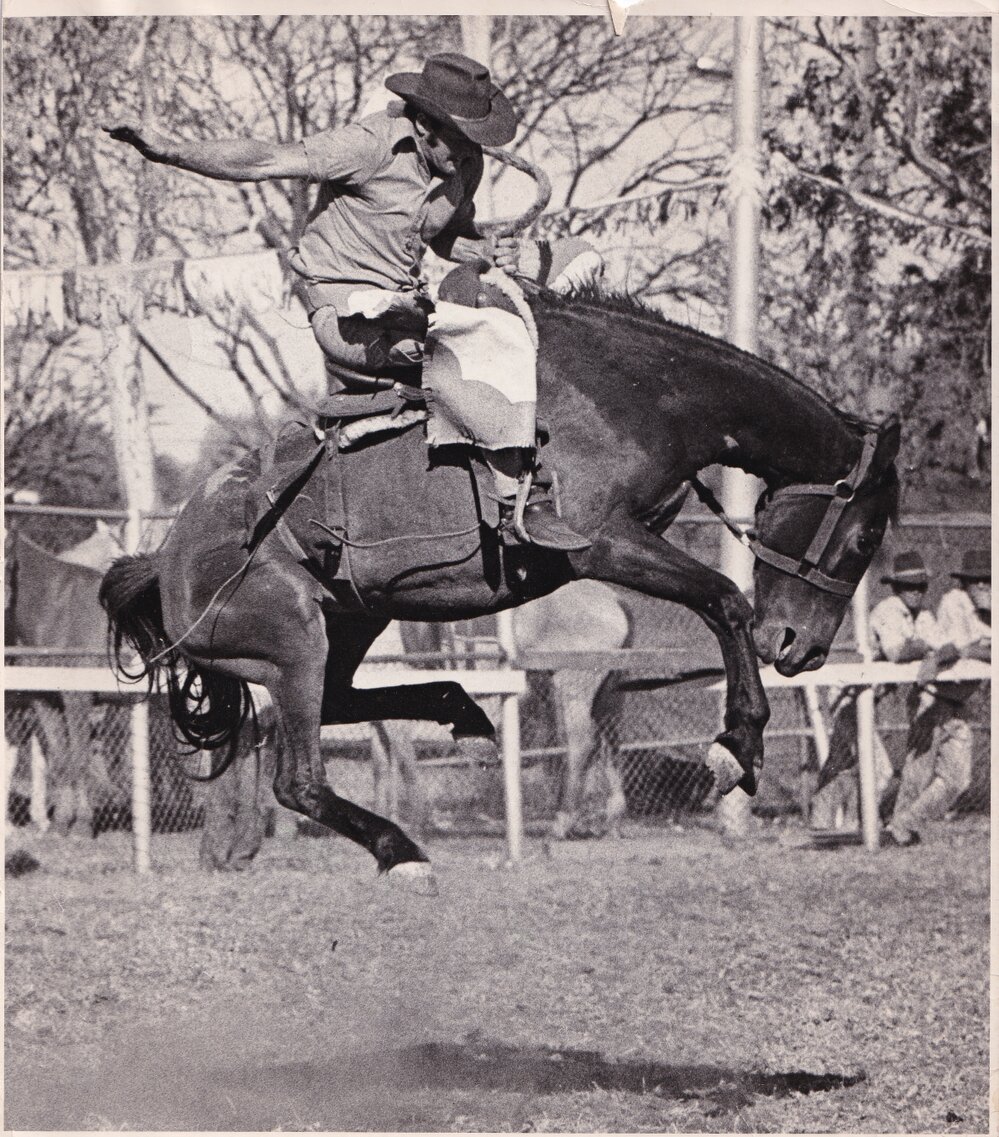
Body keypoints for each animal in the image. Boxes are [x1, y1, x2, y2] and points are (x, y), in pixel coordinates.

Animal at [100, 270, 900, 891]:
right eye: (864, 536)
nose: (802, 648)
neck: (635, 393)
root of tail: (167, 563)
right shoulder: (601, 541)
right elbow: (726, 599)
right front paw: (737, 744)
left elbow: (718, 601)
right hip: (294, 638)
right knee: (302, 777)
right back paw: (405, 848)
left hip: (350, 621)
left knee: (345, 701)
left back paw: (457, 707)